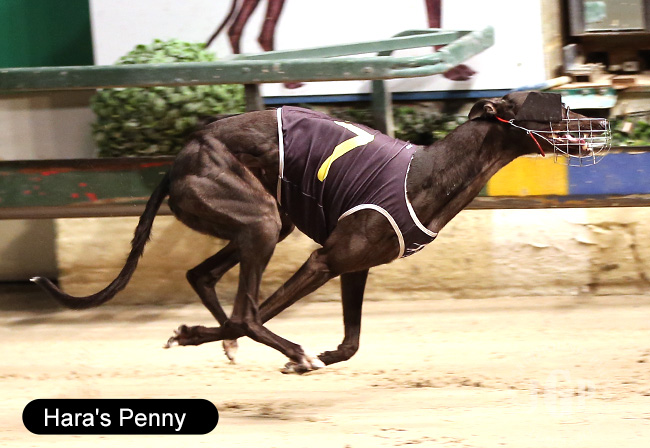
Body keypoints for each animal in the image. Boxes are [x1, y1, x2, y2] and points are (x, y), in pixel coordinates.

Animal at [33, 92, 609, 373]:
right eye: (560, 108)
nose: (602, 124)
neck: (427, 170)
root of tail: (182, 156)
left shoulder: (353, 267)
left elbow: (351, 343)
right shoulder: (324, 261)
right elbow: (259, 314)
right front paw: (299, 359)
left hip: (268, 222)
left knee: (204, 278)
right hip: (262, 222)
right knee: (245, 311)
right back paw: (281, 350)